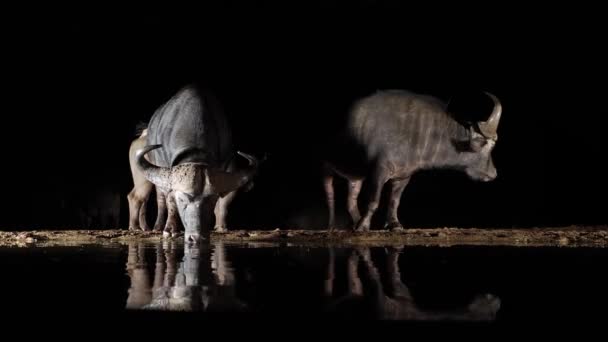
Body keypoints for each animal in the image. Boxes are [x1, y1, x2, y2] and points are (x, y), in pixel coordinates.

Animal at [135, 84, 258, 242]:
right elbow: (170, 200)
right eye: (181, 199)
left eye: (211, 199)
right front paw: (170, 229)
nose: (196, 237)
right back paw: (158, 226)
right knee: (160, 197)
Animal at [324, 90, 504, 232]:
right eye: (488, 145)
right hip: (325, 168)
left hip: (354, 175)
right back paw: (333, 226)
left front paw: (394, 224)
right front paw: (363, 226)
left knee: (351, 199)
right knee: (330, 196)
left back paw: (354, 221)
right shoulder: (378, 171)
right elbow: (373, 200)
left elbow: (394, 201)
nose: (494, 173)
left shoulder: (403, 176)